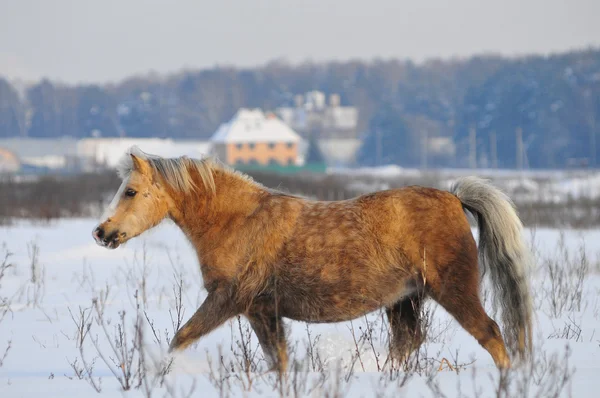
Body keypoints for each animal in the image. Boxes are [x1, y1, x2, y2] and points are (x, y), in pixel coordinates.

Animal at [95, 148, 536, 372]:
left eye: (130, 191)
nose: (102, 233)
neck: (239, 220)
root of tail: (455, 198)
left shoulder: (230, 300)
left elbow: (180, 338)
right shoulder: (262, 310)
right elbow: (278, 360)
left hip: (453, 291)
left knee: (492, 334)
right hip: (405, 301)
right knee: (406, 345)